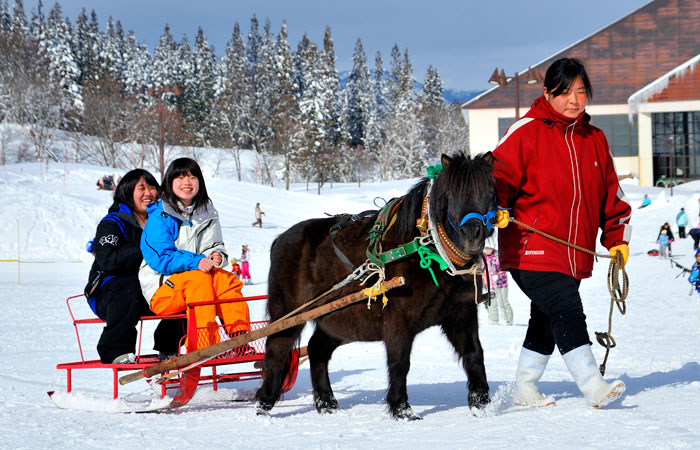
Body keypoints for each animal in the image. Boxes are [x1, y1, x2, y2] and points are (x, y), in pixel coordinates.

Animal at [256, 153, 492, 420]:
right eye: (450, 194)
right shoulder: (399, 321)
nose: (472, 234)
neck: (426, 246)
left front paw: (482, 402)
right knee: (277, 349)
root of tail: (280, 239)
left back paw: (327, 403)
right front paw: (401, 409)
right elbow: (400, 362)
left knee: (317, 350)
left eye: (489, 192)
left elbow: (474, 353)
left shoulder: (462, 313)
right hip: (288, 314)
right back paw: (264, 403)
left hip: (337, 319)